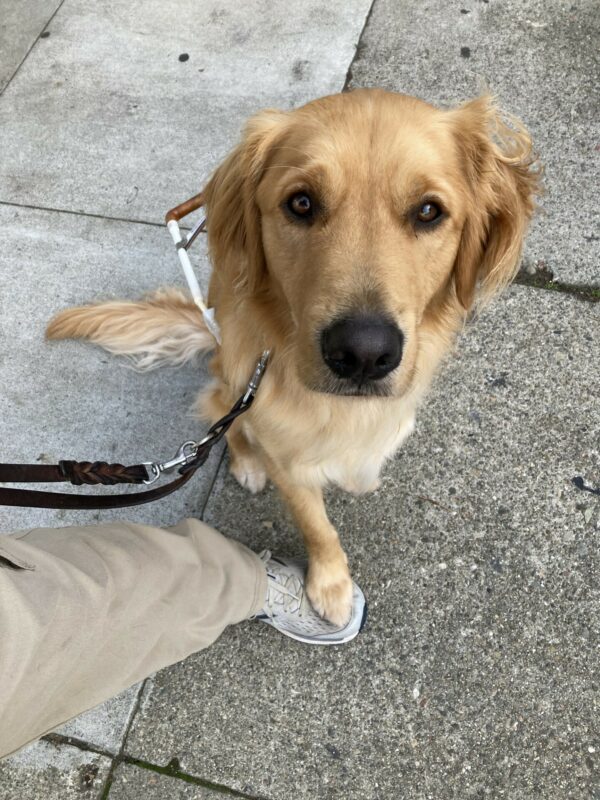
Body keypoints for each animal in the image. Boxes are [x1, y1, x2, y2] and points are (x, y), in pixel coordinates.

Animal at [49, 87, 540, 624]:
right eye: (301, 203)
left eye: (429, 211)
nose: (363, 353)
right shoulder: (286, 456)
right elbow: (316, 526)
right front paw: (330, 584)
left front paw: (363, 477)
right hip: (229, 387)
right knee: (223, 423)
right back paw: (245, 464)